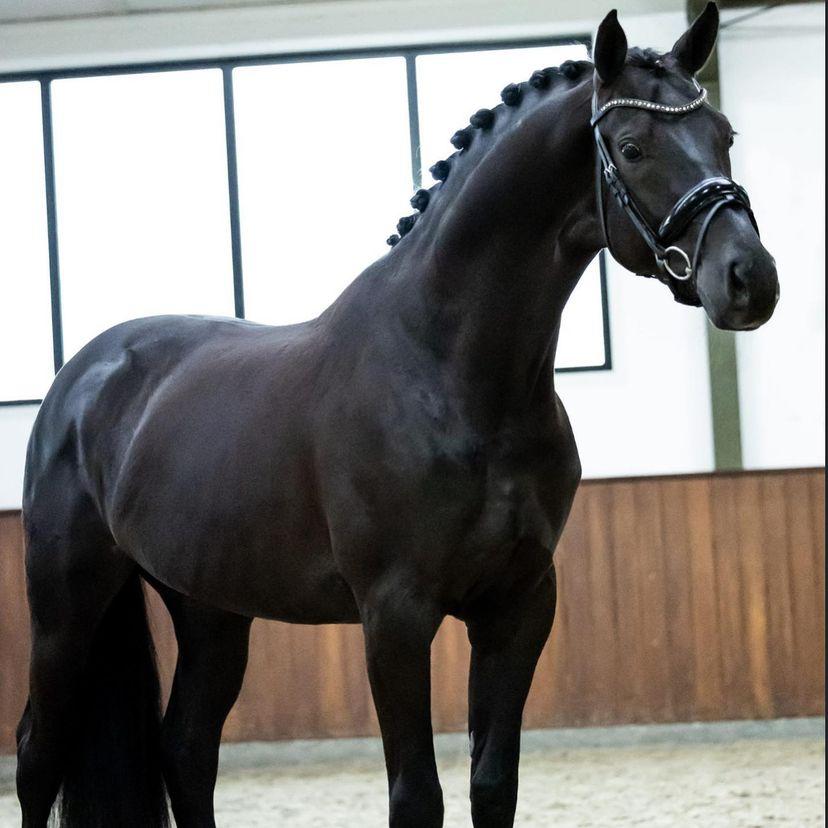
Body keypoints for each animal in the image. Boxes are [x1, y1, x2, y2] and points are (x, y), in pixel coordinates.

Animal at [16, 4, 778, 827]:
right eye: (633, 147)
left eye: (725, 134)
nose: (750, 278)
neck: (454, 377)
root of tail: (83, 378)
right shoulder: (395, 616)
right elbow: (417, 796)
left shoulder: (518, 607)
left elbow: (492, 784)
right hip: (65, 609)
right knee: (37, 755)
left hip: (211, 608)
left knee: (185, 748)